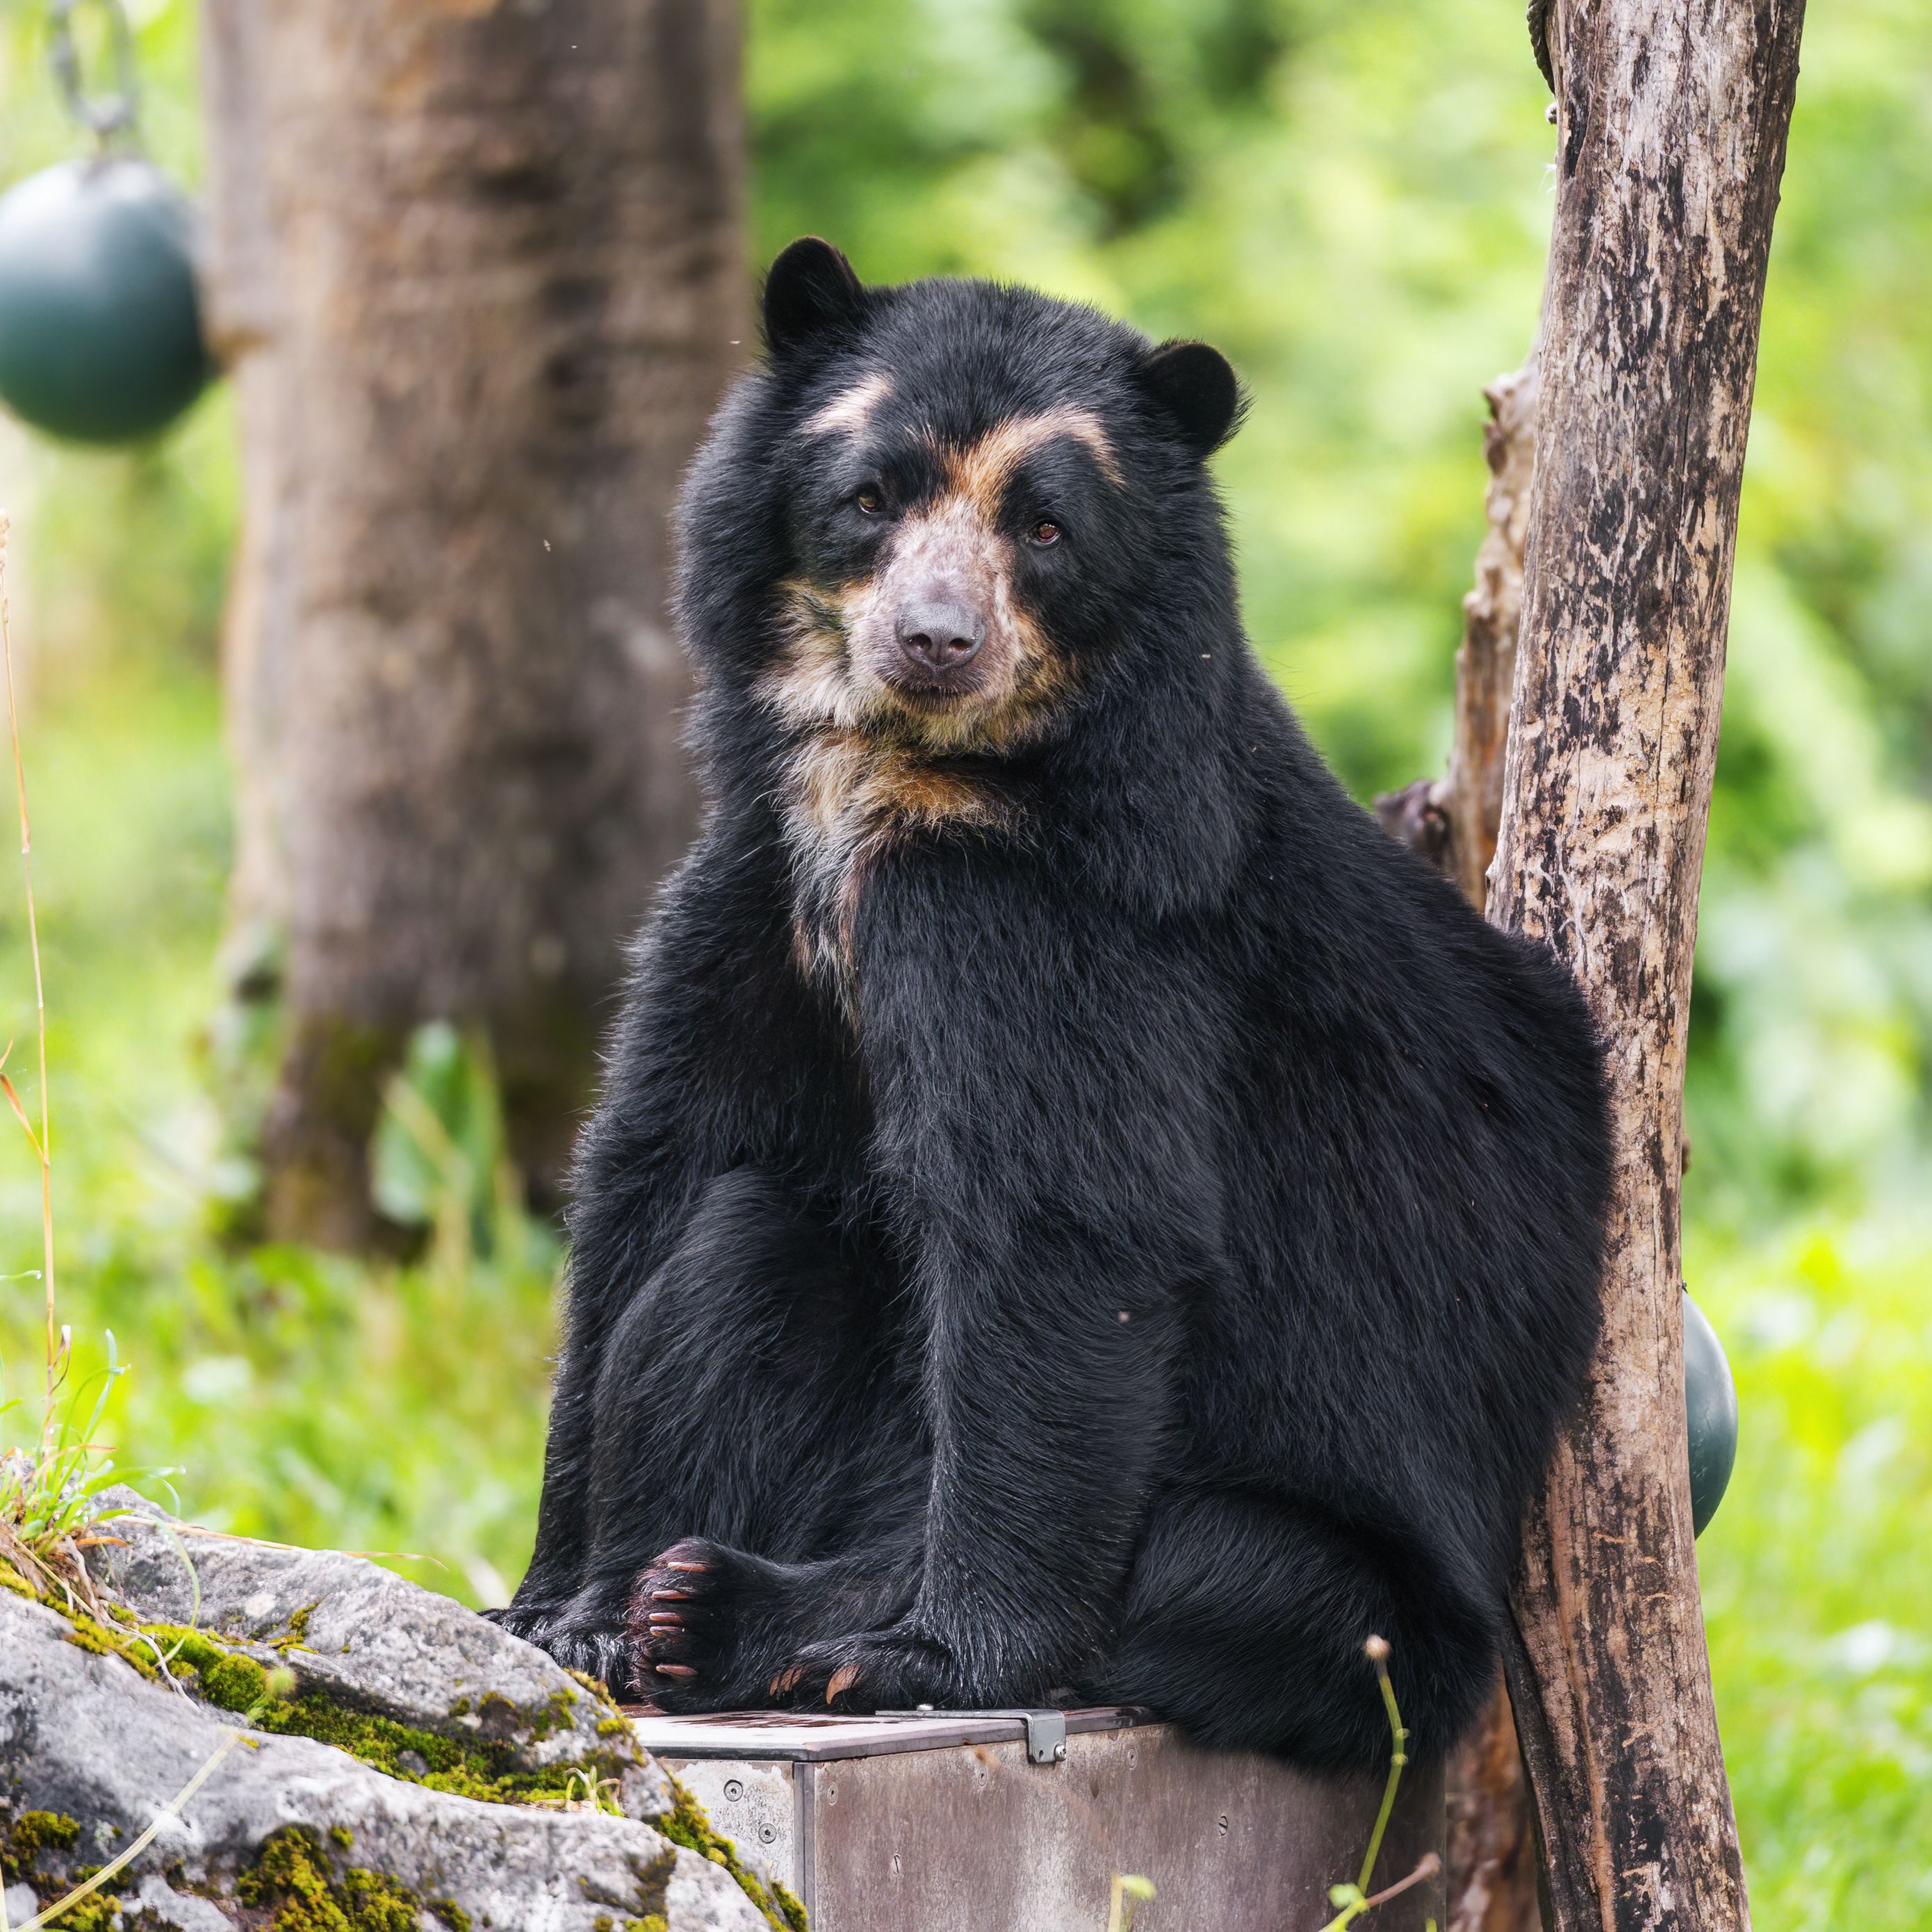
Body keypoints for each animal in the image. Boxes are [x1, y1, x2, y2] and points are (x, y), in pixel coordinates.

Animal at [489, 237, 1612, 1774]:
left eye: (1047, 528)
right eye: (871, 496)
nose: (935, 641)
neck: (899, 788)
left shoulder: (1065, 927)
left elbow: (1065, 1228)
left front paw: (928, 1654)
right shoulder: (756, 888)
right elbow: (655, 1175)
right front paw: (544, 1608)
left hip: (1361, 1601)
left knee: (1200, 1565)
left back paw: (745, 1616)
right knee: (745, 1248)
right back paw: (638, 1608)